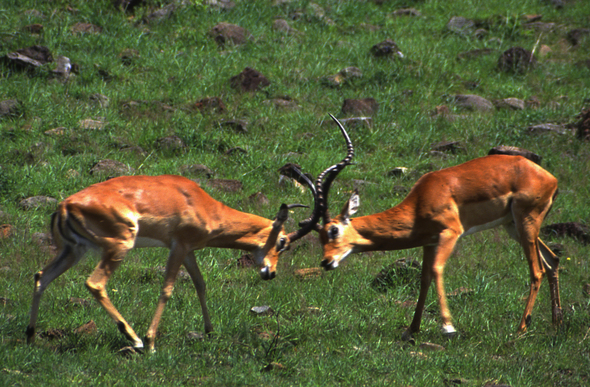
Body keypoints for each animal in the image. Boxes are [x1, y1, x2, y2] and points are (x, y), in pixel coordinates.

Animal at [314, 118, 564, 340]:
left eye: (333, 230)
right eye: (319, 235)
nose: (326, 262)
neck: (421, 200)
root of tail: (551, 178)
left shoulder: (450, 234)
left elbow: (436, 270)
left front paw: (448, 327)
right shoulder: (429, 242)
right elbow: (424, 278)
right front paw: (411, 329)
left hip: (525, 222)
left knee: (537, 270)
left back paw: (521, 329)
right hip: (513, 226)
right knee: (552, 260)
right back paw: (556, 323)